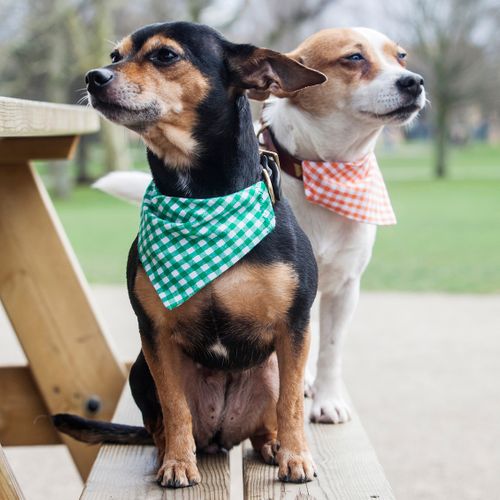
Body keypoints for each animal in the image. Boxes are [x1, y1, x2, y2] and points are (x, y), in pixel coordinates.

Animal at [52, 21, 326, 486]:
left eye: (165, 55)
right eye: (114, 55)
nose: (94, 77)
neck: (200, 198)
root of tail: (220, 436)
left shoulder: (294, 327)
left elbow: (291, 404)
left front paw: (296, 458)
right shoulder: (156, 335)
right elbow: (175, 407)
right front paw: (179, 463)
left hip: (270, 367)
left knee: (266, 422)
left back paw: (274, 446)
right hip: (140, 369)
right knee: (159, 425)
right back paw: (169, 453)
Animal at [94, 27, 426, 424]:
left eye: (401, 56)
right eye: (354, 58)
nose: (414, 82)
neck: (321, 169)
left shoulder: (343, 286)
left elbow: (330, 349)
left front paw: (328, 398)